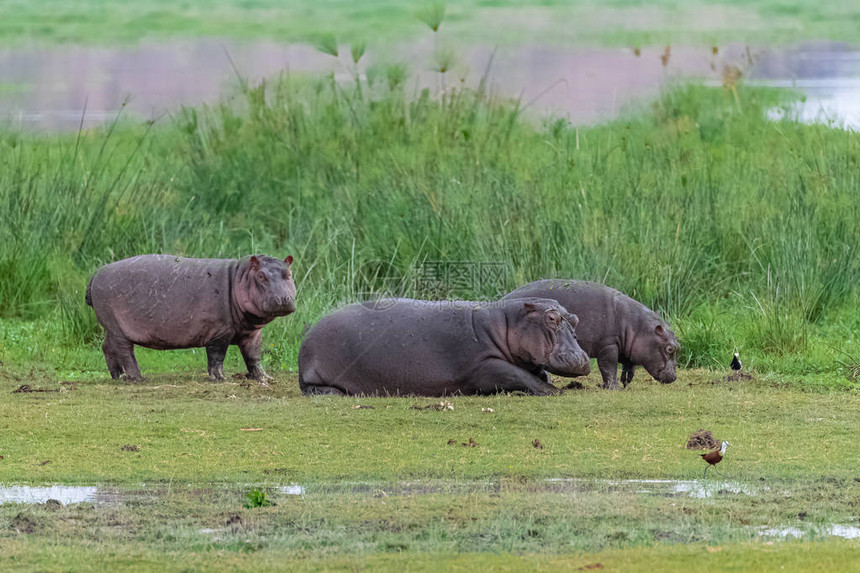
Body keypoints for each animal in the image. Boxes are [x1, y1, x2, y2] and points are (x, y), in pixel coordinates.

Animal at [85, 254, 296, 380]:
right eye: (261, 276)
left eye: (289, 273)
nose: (283, 299)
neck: (239, 277)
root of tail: (96, 273)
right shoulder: (220, 332)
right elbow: (217, 357)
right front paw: (220, 378)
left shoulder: (252, 334)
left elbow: (253, 356)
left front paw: (263, 378)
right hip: (117, 327)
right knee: (124, 351)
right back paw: (137, 378)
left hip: (110, 327)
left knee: (107, 347)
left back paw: (117, 376)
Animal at [298, 298, 592, 396]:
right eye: (551, 319)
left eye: (575, 318)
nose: (580, 359)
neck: (506, 323)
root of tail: (308, 332)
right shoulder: (482, 365)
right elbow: (519, 375)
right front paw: (554, 391)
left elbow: (535, 372)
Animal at [504, 280, 680, 388]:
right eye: (670, 348)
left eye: (678, 344)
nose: (675, 377)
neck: (637, 326)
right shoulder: (608, 344)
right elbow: (608, 367)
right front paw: (613, 388)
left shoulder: (626, 348)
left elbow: (627, 364)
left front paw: (626, 381)